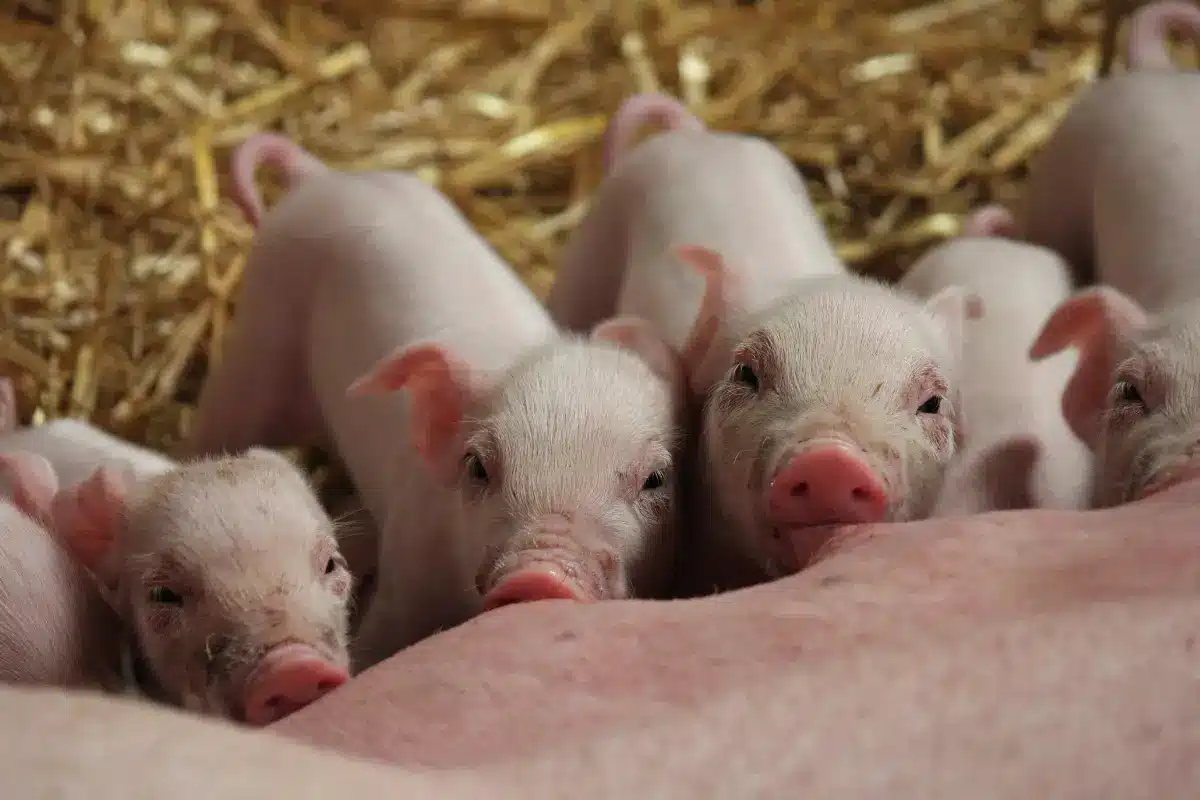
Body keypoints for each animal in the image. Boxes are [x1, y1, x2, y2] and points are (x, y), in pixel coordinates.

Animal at [191, 133, 688, 668]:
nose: (540, 572)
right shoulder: (407, 575)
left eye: (656, 480)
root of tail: (321, 178)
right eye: (477, 467)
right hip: (261, 337)